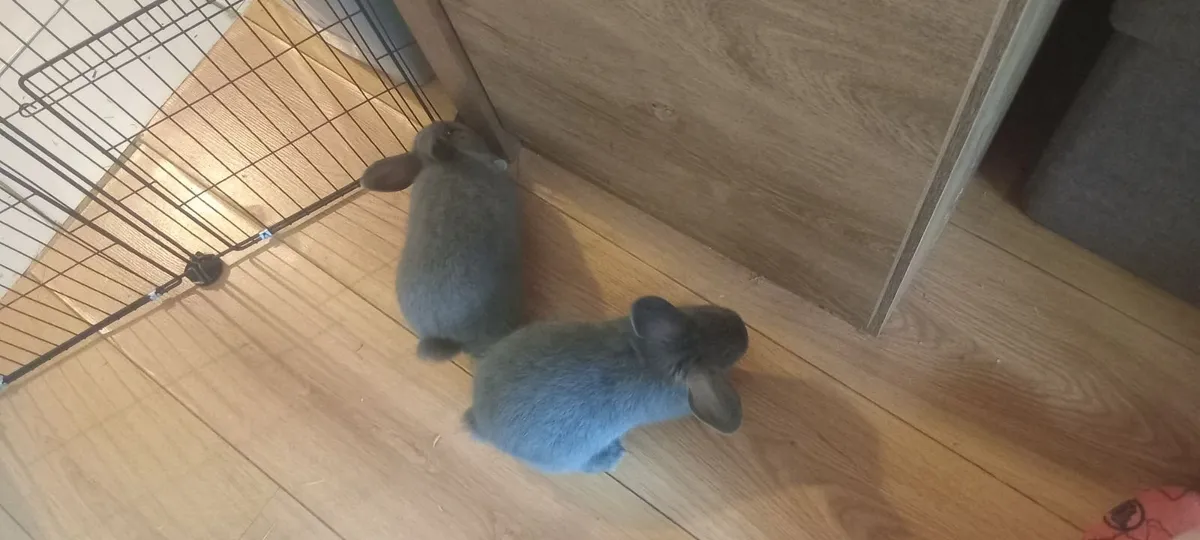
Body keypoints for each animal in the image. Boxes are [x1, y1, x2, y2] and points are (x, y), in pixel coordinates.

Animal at [463, 295, 749, 474]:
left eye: (706, 314)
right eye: (727, 357)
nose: (743, 327)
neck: (660, 358)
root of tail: (480, 423)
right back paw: (611, 457)